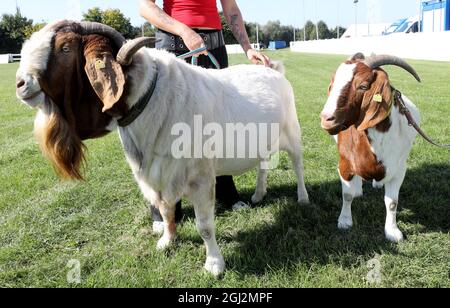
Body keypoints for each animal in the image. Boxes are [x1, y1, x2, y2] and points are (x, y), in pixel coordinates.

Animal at [320, 54, 422, 243]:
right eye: (332, 84)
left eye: (363, 86)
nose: (326, 119)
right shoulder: (344, 165)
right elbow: (347, 195)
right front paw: (344, 221)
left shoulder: (398, 169)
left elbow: (392, 202)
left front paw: (392, 231)